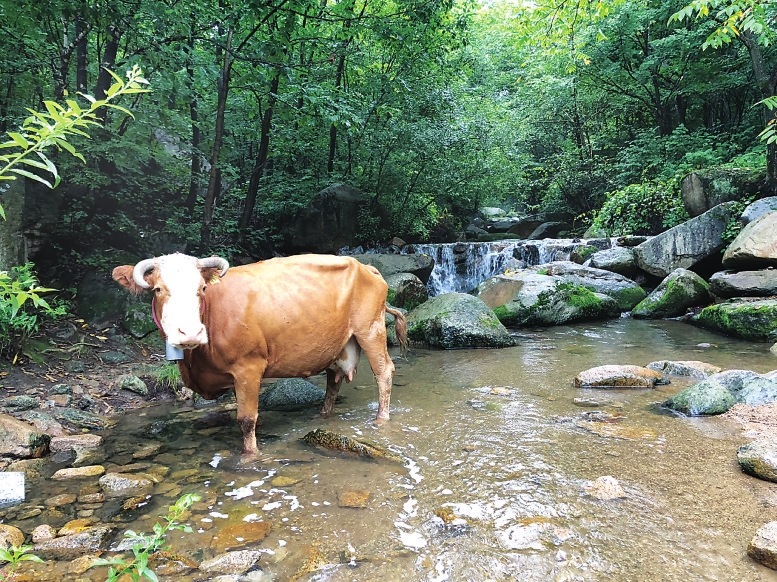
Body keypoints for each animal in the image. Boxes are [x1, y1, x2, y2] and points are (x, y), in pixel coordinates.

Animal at [114, 252, 410, 456]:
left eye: (202, 289)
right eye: (157, 289)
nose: (189, 333)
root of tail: (365, 266)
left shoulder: (248, 366)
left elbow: (247, 420)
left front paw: (250, 455)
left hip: (370, 330)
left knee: (384, 372)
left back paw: (381, 418)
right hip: (338, 343)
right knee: (333, 381)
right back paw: (322, 416)